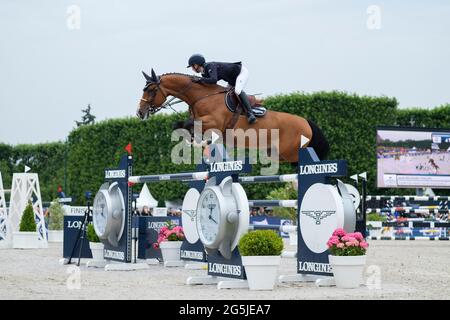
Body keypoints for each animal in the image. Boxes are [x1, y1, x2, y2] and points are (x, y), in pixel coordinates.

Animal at [135, 68, 328, 161]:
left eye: (151, 90)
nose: (139, 112)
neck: (201, 97)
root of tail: (306, 122)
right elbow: (180, 125)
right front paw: (194, 141)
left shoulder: (214, 123)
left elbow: (192, 125)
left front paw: (200, 141)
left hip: (291, 153)